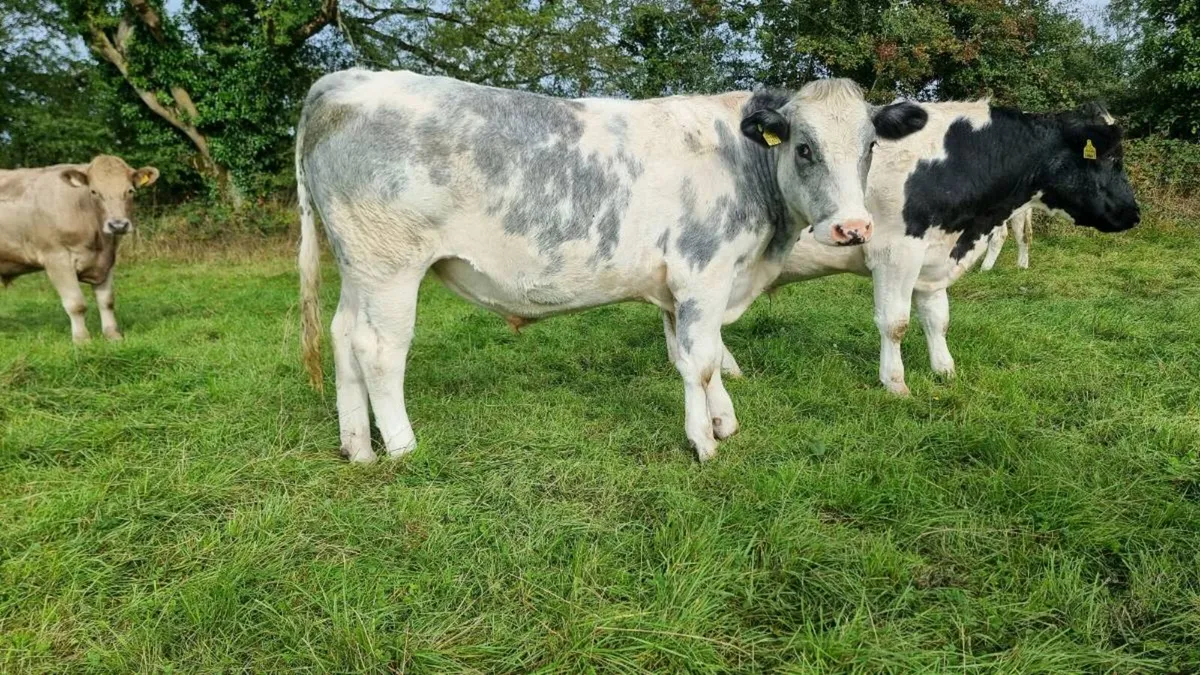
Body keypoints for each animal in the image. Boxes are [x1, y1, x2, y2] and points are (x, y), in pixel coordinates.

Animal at [0, 155, 159, 343]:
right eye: (94, 192)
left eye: (130, 191)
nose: (118, 225)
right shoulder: (56, 258)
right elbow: (76, 304)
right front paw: (82, 340)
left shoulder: (107, 260)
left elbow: (107, 301)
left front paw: (113, 335)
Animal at [296, 69, 928, 463]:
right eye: (803, 147)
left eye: (871, 147)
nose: (854, 228)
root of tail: (343, 81)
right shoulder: (703, 271)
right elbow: (700, 361)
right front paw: (704, 443)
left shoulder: (681, 289)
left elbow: (699, 358)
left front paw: (722, 421)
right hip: (390, 266)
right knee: (380, 349)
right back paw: (402, 448)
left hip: (358, 267)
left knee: (343, 337)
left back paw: (358, 447)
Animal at [714, 102, 1139, 394]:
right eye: (1112, 158)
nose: (1134, 213)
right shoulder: (895, 253)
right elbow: (895, 322)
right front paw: (894, 382)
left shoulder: (934, 259)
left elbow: (938, 318)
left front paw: (945, 370)